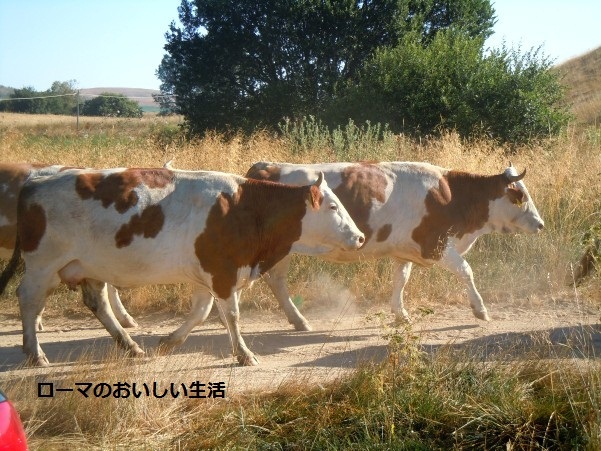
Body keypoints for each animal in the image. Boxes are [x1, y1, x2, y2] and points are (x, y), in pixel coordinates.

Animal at [246, 161, 548, 330]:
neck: (451, 196)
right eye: (521, 196)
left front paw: (400, 314)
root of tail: (267, 166)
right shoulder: (435, 244)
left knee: (275, 281)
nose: (541, 223)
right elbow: (466, 270)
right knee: (276, 280)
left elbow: (400, 280)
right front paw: (480, 309)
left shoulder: (405, 250)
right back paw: (298, 319)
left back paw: (297, 320)